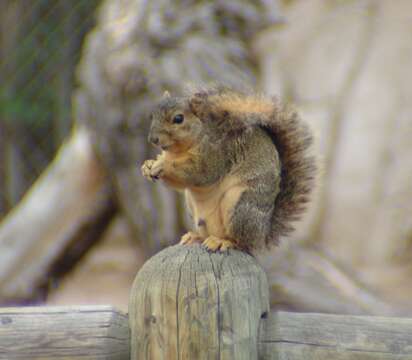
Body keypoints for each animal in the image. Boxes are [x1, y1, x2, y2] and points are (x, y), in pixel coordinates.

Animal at [140, 86, 318, 252]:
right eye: (152, 116)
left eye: (178, 118)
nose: (153, 139)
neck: (179, 151)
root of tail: (262, 236)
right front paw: (148, 166)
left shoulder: (216, 154)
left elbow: (201, 173)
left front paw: (162, 165)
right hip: (194, 208)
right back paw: (196, 237)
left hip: (240, 207)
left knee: (241, 243)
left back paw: (223, 242)